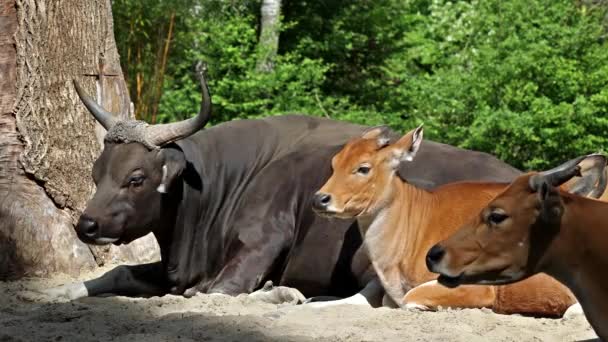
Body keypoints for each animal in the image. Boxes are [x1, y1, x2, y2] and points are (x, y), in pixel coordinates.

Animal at [30, 68, 524, 304]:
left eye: (136, 178)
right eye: (97, 172)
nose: (87, 225)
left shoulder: (261, 240)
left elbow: (210, 292)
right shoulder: (176, 266)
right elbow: (120, 273)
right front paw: (60, 291)